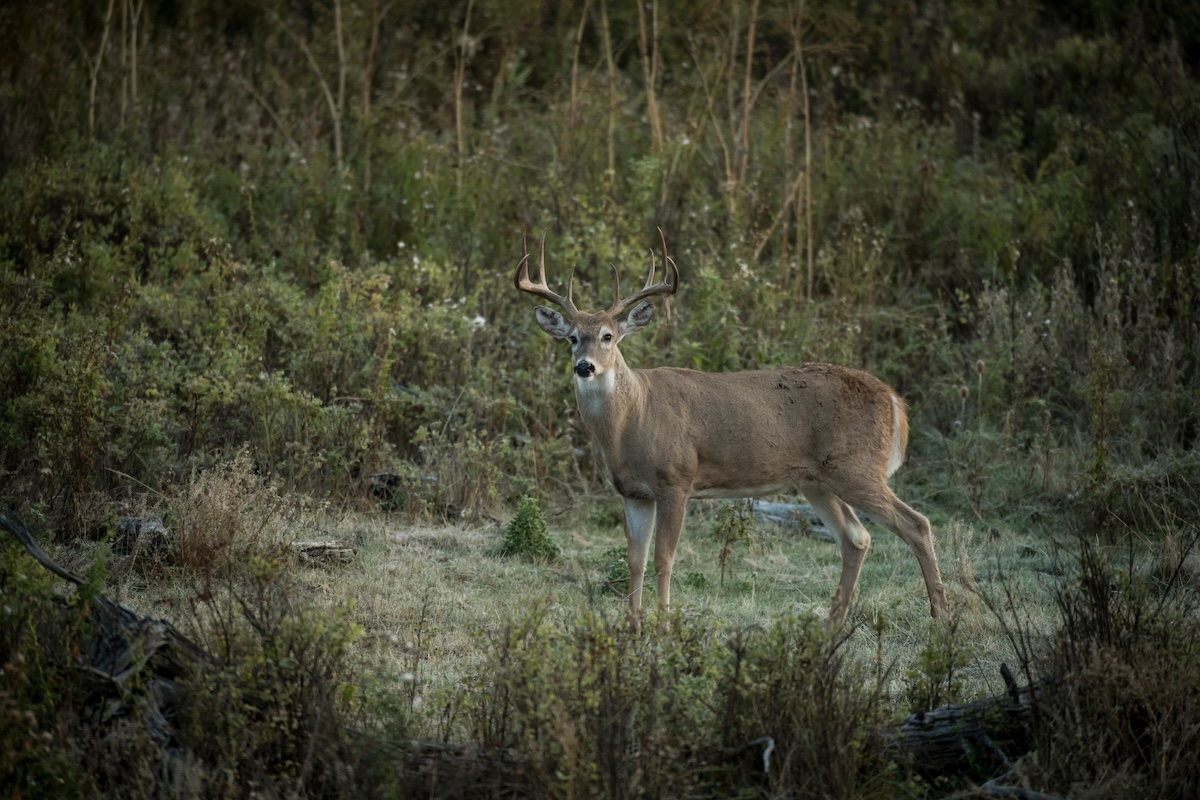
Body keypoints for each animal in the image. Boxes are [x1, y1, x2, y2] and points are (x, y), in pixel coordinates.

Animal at [515, 231, 950, 627]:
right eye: (573, 338)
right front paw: (633, 625)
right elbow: (634, 560)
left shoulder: (676, 480)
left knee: (917, 524)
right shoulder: (633, 493)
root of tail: (894, 400)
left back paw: (940, 618)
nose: (584, 366)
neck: (631, 421)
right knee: (857, 538)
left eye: (608, 336)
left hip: (857, 467)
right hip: (816, 480)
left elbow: (663, 558)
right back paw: (831, 625)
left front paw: (664, 622)